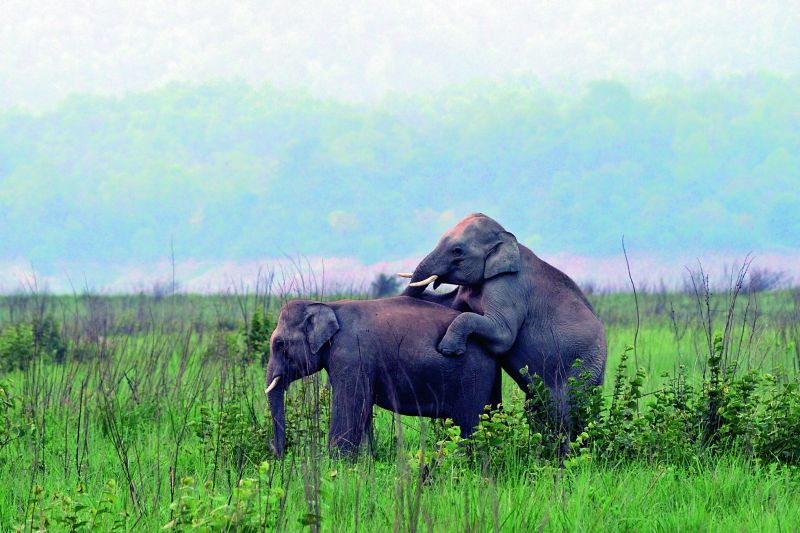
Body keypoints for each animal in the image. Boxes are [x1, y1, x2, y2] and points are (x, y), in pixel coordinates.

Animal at [266, 296, 496, 458]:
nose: (280, 457)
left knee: (468, 423)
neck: (328, 305)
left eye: (279, 344)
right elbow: (363, 408)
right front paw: (366, 461)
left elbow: (350, 404)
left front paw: (336, 464)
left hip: (472, 375)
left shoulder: (351, 354)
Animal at [400, 212, 608, 432]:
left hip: (581, 367)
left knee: (564, 412)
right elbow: (447, 304)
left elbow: (502, 336)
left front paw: (448, 350)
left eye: (457, 250)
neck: (507, 239)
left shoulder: (508, 284)